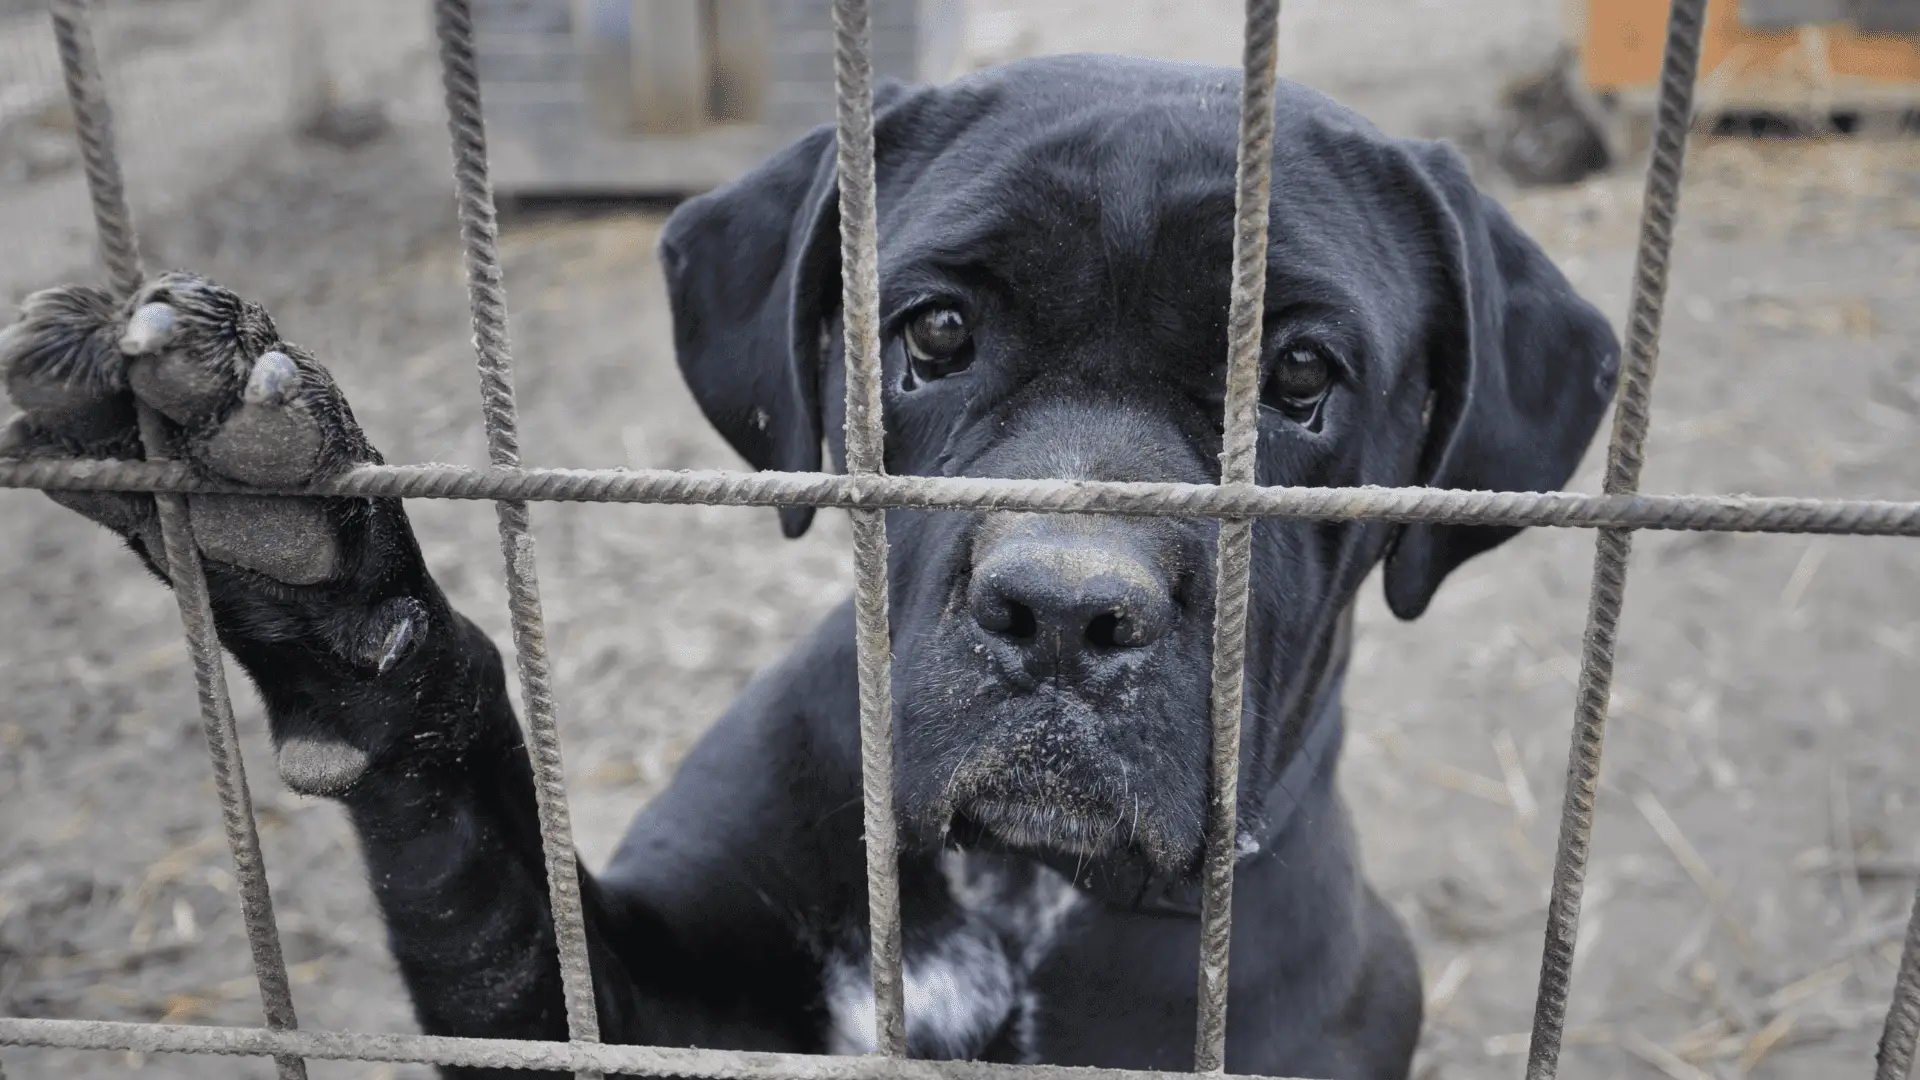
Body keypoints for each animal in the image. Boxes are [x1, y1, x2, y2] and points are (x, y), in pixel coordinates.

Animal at [3, 56, 1620, 1068]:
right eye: (936, 333)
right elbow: (479, 869)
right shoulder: (630, 1005)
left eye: (1299, 379)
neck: (1013, 900)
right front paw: (315, 574)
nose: (1064, 611)